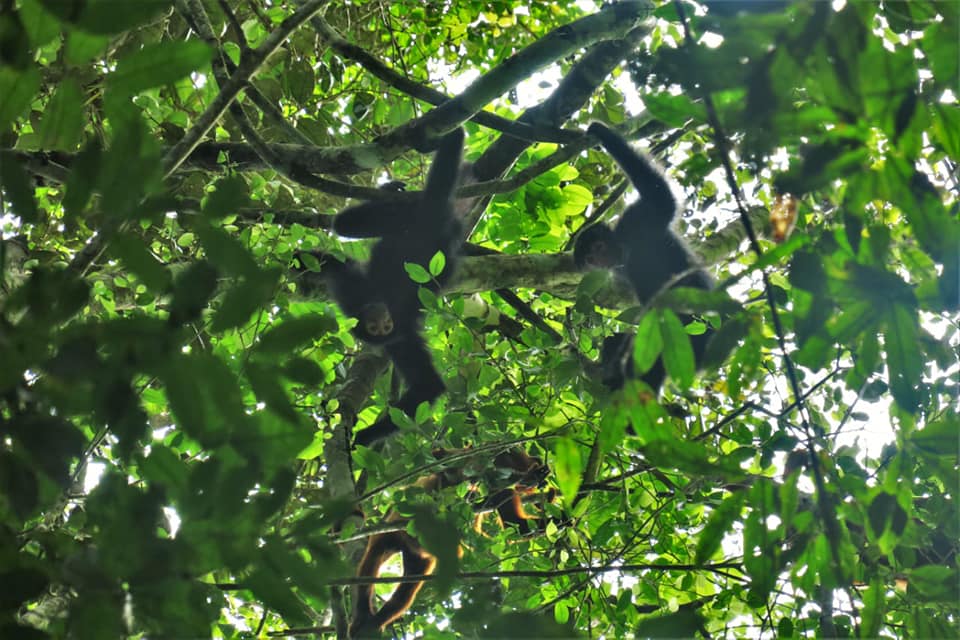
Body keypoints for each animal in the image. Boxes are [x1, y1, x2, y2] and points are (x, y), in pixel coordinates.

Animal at [574, 122, 714, 392]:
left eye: (597, 248)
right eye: (588, 260)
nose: (597, 261)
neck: (626, 249)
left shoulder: (637, 222)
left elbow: (660, 197)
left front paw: (600, 130)